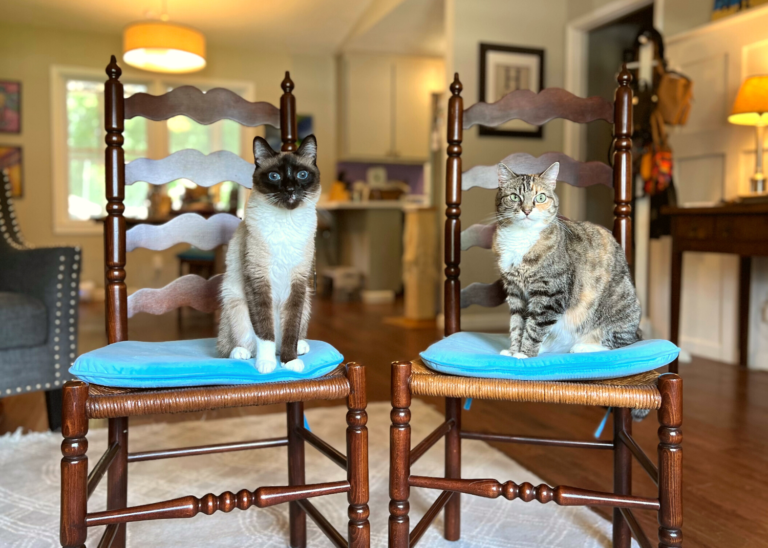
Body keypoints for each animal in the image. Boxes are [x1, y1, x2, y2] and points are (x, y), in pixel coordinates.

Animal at [218, 135, 320, 372]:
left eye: (302, 175)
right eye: (275, 176)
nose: (290, 189)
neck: (287, 222)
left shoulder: (298, 282)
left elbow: (291, 328)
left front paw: (290, 362)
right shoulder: (258, 279)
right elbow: (264, 333)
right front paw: (267, 366)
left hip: (307, 301)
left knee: (288, 338)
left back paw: (299, 348)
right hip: (235, 301)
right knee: (229, 347)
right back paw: (243, 353)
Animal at [492, 161, 640, 360]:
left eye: (540, 197)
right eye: (515, 197)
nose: (527, 210)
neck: (521, 239)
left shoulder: (550, 293)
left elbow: (534, 326)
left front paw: (525, 354)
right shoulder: (515, 291)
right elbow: (517, 324)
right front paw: (514, 350)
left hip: (618, 309)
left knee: (622, 341)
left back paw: (584, 347)